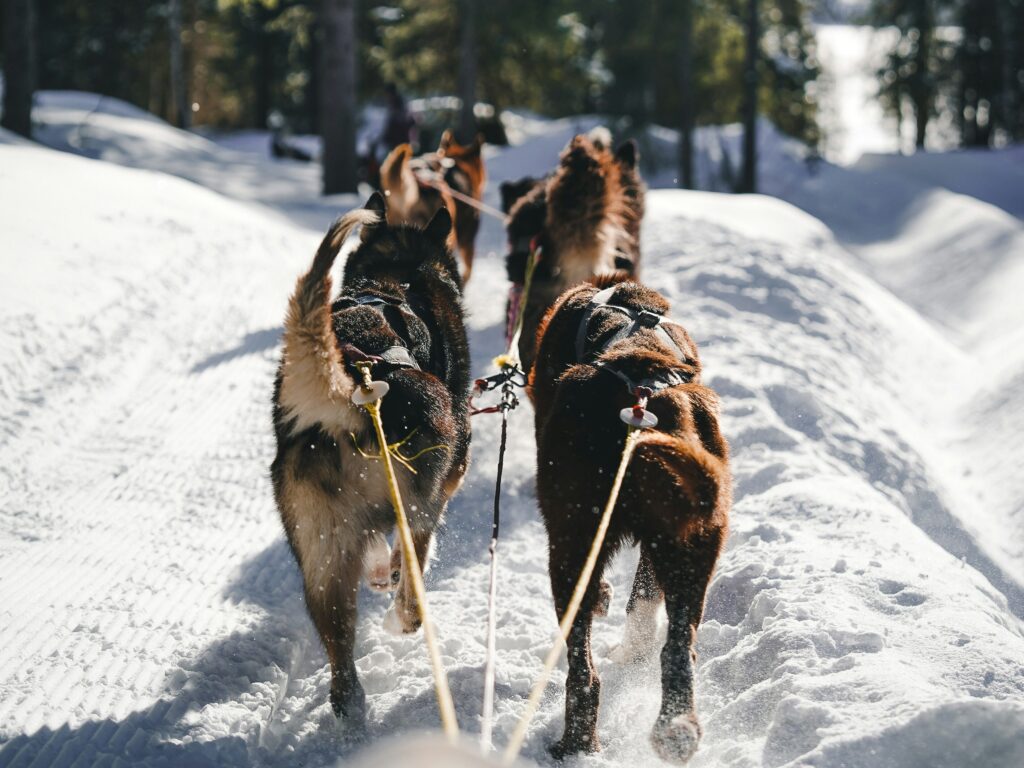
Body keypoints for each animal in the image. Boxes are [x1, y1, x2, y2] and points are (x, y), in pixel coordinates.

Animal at [268, 191, 468, 729]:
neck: (393, 276)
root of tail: (354, 387)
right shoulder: (447, 481)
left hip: (321, 551)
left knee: (340, 649)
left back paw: (350, 709)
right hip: (418, 507)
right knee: (412, 590)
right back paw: (402, 619)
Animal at [528, 278, 729, 765]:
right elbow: (644, 596)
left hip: (571, 545)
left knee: (582, 669)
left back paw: (576, 744)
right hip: (696, 540)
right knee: (677, 649)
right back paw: (676, 730)